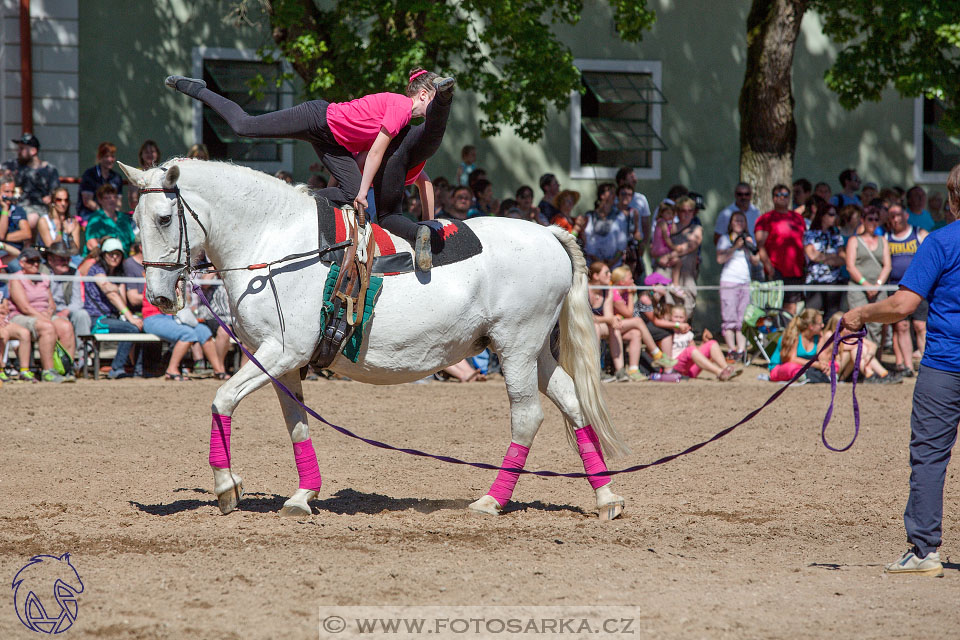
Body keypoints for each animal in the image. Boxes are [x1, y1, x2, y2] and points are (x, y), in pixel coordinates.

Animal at [118, 159, 632, 520]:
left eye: (163, 218)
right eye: (134, 219)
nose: (159, 296)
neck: (275, 243)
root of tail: (548, 233)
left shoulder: (279, 352)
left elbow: (222, 399)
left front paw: (227, 487)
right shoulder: (284, 363)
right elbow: (297, 423)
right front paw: (303, 495)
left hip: (516, 348)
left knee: (527, 417)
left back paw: (491, 501)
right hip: (532, 351)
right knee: (572, 402)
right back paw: (606, 497)